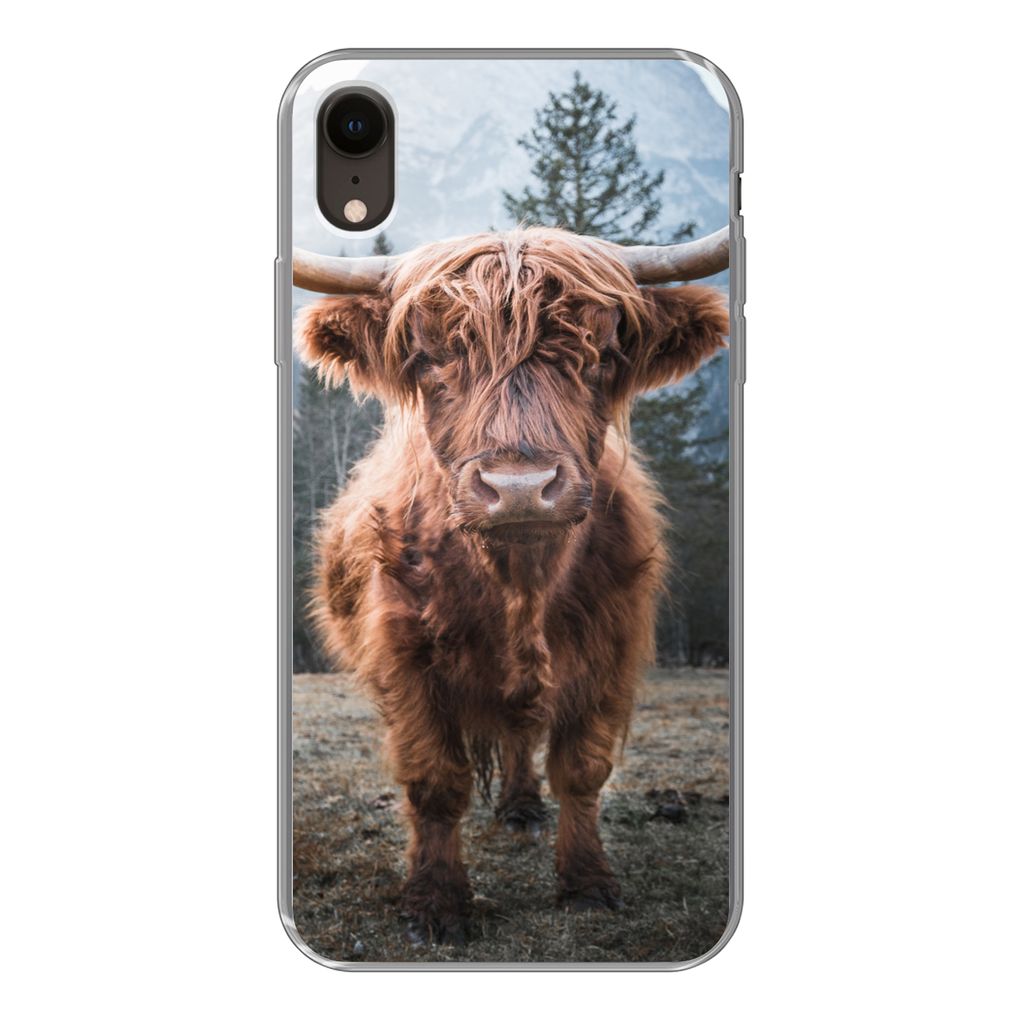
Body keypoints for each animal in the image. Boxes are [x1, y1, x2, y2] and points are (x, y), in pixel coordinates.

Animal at [293, 225, 730, 945]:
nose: (520, 488)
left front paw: (587, 884)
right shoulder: (404, 659)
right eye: (429, 356)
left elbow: (581, 770)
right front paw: (436, 904)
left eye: (601, 352)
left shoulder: (612, 649)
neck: (520, 585)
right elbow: (435, 780)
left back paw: (524, 807)